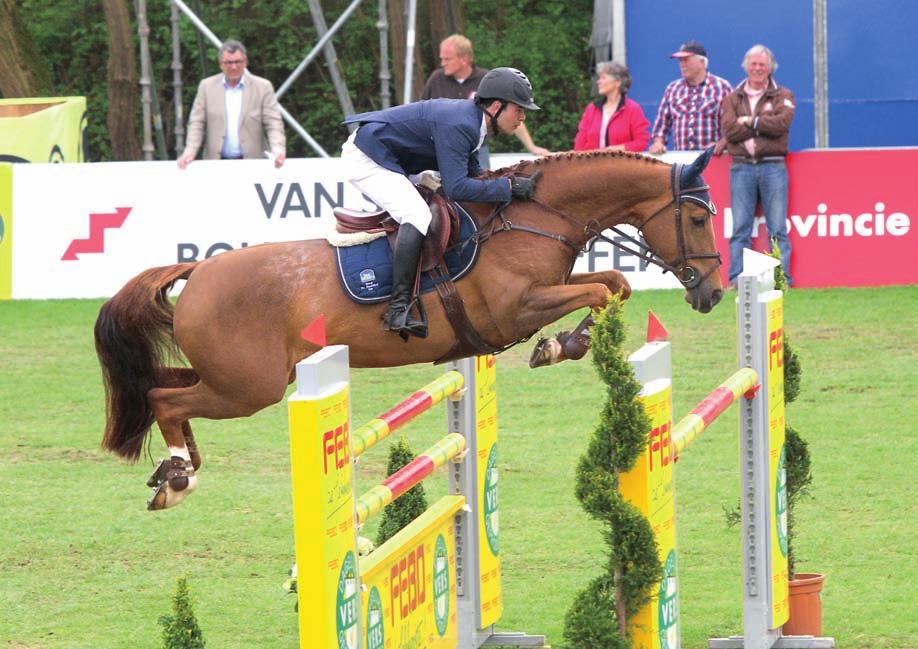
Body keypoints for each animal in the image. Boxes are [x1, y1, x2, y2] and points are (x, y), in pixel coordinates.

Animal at [95, 147, 724, 506]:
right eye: (697, 218)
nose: (713, 292)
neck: (532, 216)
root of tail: (199, 270)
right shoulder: (515, 309)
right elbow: (601, 289)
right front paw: (559, 344)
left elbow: (613, 285)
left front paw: (568, 342)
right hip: (250, 387)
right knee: (165, 398)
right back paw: (179, 477)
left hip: (234, 378)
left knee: (162, 386)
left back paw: (175, 468)